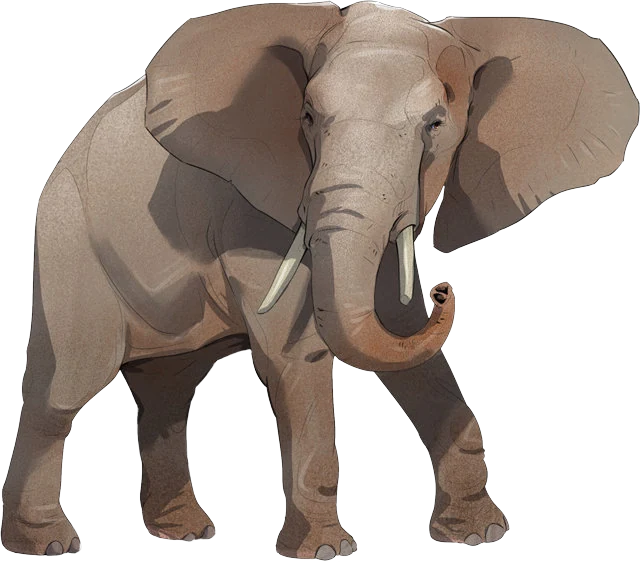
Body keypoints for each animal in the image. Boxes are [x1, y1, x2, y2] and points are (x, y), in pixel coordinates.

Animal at [1, 1, 638, 558]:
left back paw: (184, 533)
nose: (444, 290)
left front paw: (479, 535)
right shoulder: (251, 210)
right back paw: (48, 544)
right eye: (308, 118)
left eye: (436, 125)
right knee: (65, 387)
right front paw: (326, 551)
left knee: (168, 388)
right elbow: (297, 352)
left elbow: (401, 337)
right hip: (68, 241)